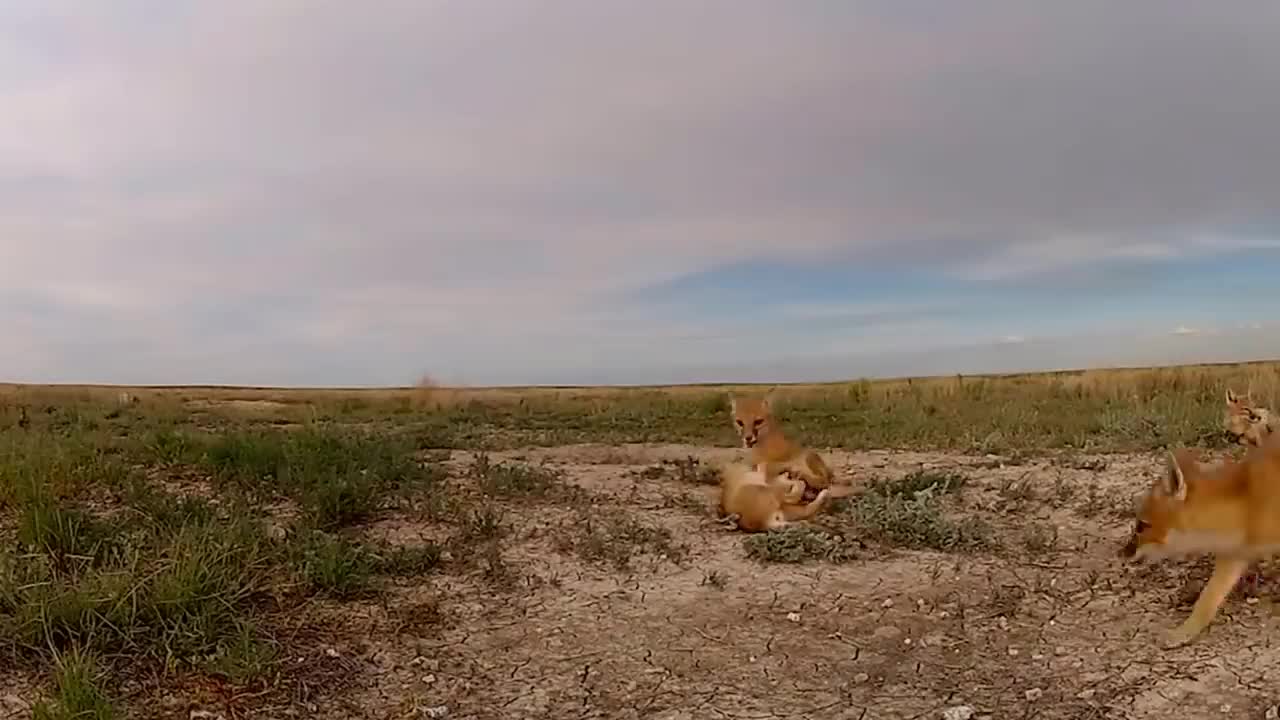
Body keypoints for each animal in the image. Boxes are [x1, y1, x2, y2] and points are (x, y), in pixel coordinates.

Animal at [1116, 443, 1280, 645]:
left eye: (1142, 525)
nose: (1122, 553)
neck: (1249, 506)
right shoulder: (1234, 555)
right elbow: (1206, 601)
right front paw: (1183, 632)